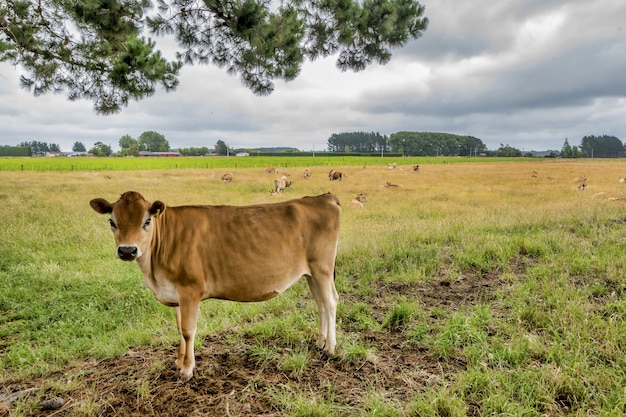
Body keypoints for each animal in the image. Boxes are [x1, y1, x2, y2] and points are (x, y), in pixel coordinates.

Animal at [89, 192, 338, 380]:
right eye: (112, 222)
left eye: (147, 221)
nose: (127, 250)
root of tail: (322, 197)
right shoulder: (176, 294)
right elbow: (179, 328)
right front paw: (178, 361)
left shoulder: (190, 290)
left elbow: (188, 331)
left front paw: (187, 369)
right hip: (311, 274)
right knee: (320, 303)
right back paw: (320, 343)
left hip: (322, 269)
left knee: (330, 302)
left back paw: (331, 347)